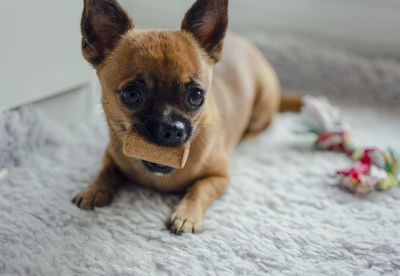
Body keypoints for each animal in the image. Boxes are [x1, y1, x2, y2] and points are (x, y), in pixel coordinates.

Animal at [72, 0, 300, 234]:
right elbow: (106, 171)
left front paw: (186, 215)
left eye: (196, 96)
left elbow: (199, 188)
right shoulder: (110, 155)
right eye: (131, 95)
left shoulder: (220, 176)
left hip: (262, 106)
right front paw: (94, 190)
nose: (172, 128)